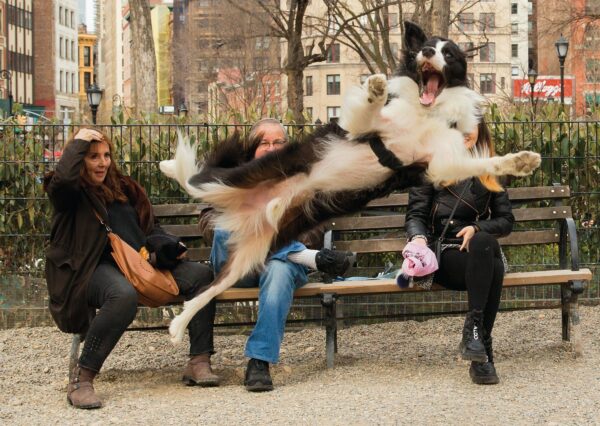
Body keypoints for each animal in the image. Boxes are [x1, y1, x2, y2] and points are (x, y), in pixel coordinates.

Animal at [160, 22, 541, 343]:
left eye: (448, 54)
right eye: (427, 48)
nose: (427, 54)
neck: (425, 110)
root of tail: (244, 209)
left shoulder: (439, 165)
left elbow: (480, 163)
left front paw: (519, 161)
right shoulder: (364, 128)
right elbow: (369, 109)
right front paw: (376, 87)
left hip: (250, 254)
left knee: (210, 289)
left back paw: (179, 325)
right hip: (236, 178)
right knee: (195, 182)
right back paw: (169, 165)